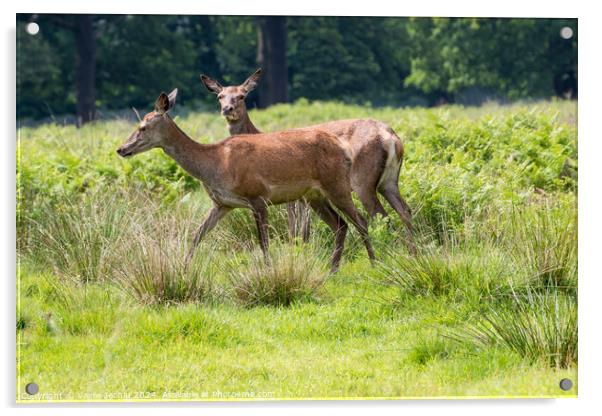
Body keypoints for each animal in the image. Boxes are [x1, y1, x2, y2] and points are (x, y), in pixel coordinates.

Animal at [117, 90, 376, 272]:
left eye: (142, 126)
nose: (121, 149)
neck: (215, 164)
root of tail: (344, 149)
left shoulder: (257, 195)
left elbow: (263, 241)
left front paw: (269, 272)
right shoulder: (222, 203)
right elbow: (197, 234)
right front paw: (183, 269)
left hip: (337, 184)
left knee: (361, 221)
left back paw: (374, 264)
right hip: (314, 195)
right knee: (340, 225)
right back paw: (332, 270)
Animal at [199, 68, 414, 254]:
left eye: (242, 95)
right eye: (220, 96)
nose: (228, 109)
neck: (258, 134)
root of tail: (391, 137)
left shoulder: (288, 193)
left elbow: (294, 228)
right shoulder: (303, 196)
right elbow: (304, 230)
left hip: (363, 181)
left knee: (381, 215)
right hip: (388, 181)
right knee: (405, 210)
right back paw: (413, 251)